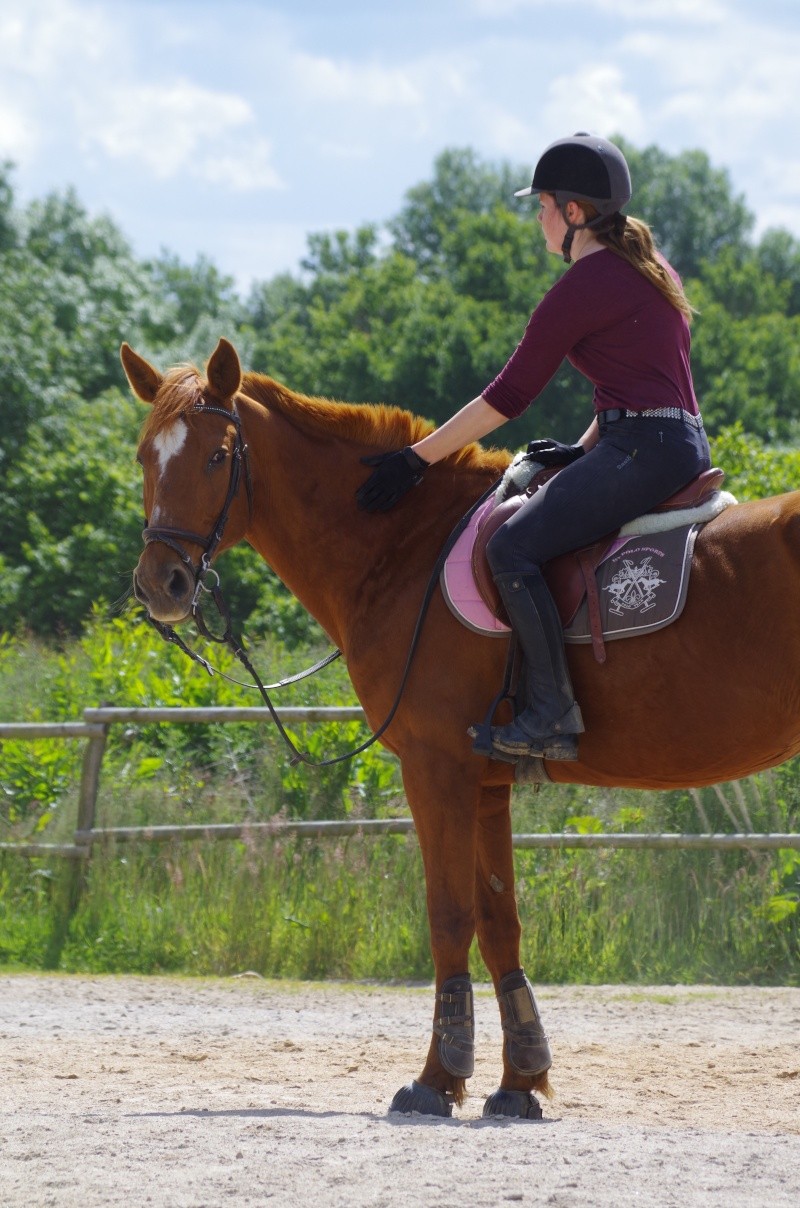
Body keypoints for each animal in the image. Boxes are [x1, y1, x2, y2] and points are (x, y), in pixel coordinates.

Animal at [122, 338, 800, 1121]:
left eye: (215, 456)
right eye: (146, 457)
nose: (160, 584)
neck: (403, 546)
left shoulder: (435, 767)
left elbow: (448, 916)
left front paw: (437, 1077)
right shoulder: (485, 781)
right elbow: (500, 923)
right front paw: (521, 1080)